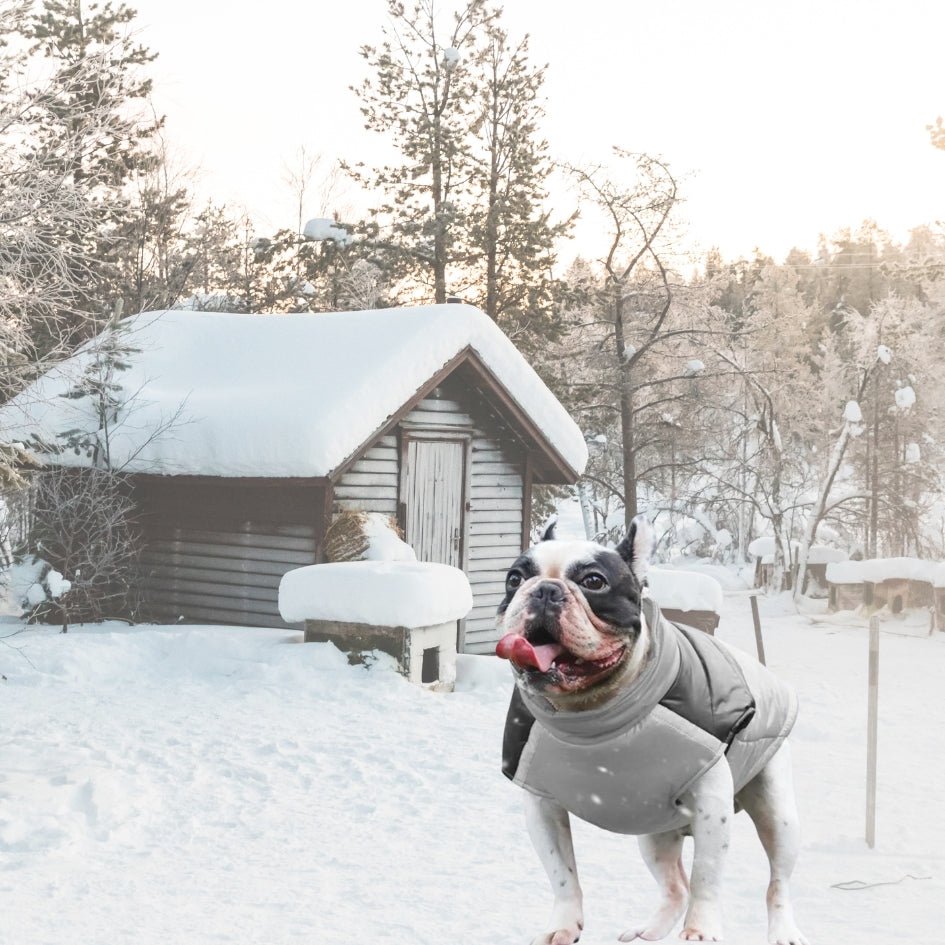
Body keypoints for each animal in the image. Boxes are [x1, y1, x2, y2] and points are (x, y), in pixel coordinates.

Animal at [490, 516, 808, 944]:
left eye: (594, 581)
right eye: (514, 578)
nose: (545, 590)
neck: (594, 716)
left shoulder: (713, 804)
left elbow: (707, 876)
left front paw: (701, 930)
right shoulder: (541, 804)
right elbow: (562, 873)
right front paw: (563, 925)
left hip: (778, 815)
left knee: (777, 882)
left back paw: (783, 930)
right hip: (655, 835)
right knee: (675, 886)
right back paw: (649, 931)